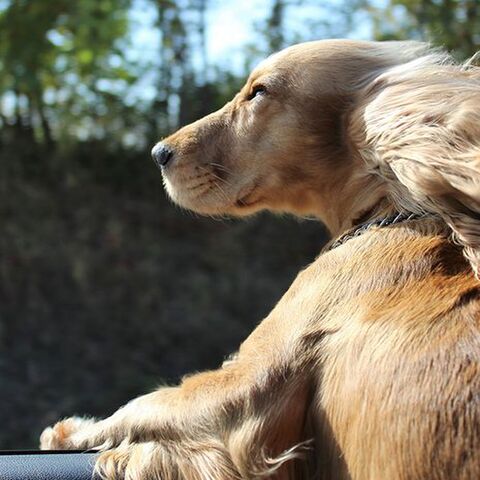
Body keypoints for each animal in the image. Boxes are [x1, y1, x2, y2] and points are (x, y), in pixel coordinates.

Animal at [40, 41, 480, 480]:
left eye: (259, 92)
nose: (159, 152)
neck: (386, 212)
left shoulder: (249, 386)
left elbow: (146, 404)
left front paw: (76, 434)